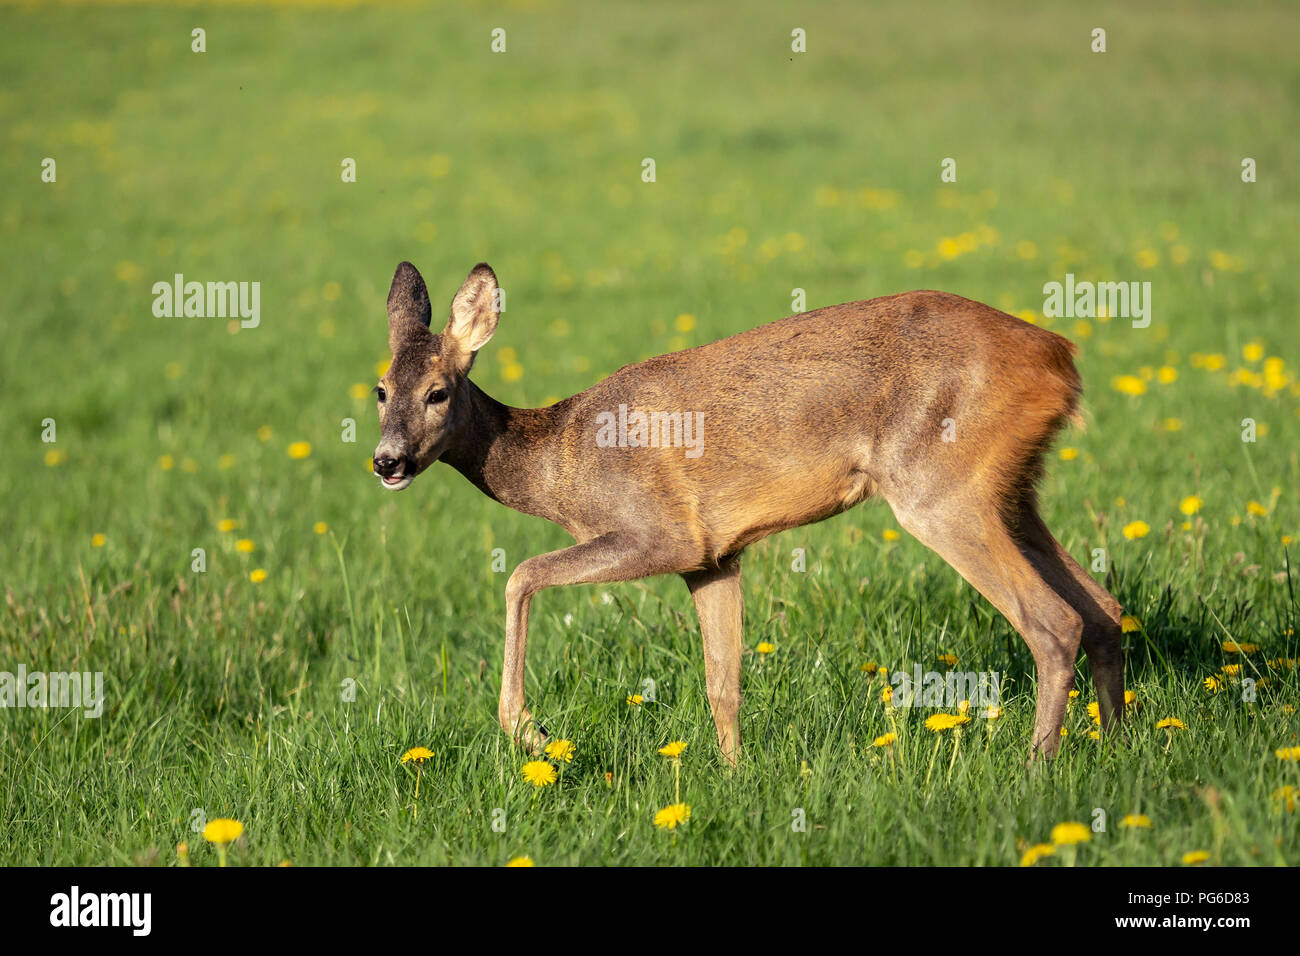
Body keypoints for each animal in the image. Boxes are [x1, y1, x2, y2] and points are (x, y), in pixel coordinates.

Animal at [371, 260, 1126, 766]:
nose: (387, 460)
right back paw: (1114, 744)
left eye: (438, 392)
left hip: (940, 487)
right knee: (1104, 608)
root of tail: (1059, 356)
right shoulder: (714, 555)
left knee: (1054, 621)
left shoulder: (662, 532)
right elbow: (722, 682)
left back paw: (1036, 768)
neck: (561, 459)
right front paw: (734, 774)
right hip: (1011, 490)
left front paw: (533, 733)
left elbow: (521, 573)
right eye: (379, 389)